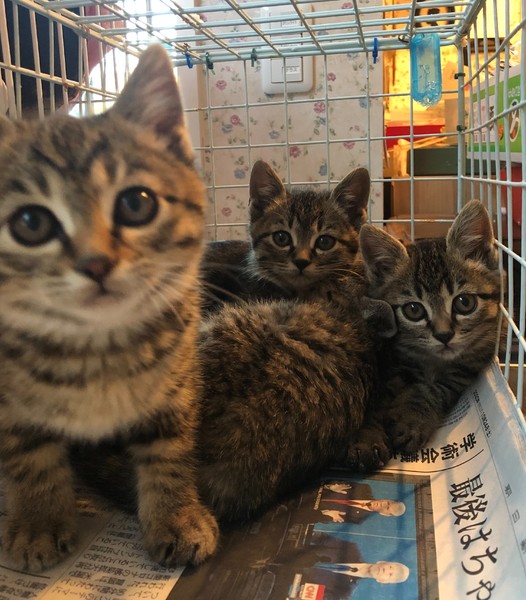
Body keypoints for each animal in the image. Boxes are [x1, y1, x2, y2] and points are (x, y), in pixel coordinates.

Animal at [0, 44, 218, 572]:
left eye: (137, 203)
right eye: (31, 222)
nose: (95, 263)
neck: (95, 345)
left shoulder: (177, 377)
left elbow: (169, 449)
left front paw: (177, 517)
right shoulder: (7, 403)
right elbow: (28, 452)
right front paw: (37, 522)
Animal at [347, 200, 502, 469]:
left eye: (464, 303)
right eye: (414, 310)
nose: (444, 335)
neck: (431, 361)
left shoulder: (465, 369)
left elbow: (433, 388)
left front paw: (412, 419)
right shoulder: (386, 363)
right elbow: (373, 400)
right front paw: (366, 438)